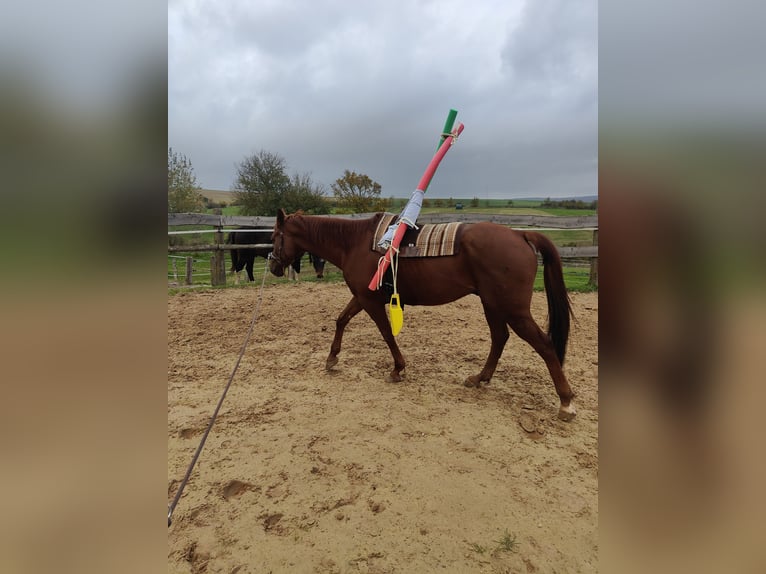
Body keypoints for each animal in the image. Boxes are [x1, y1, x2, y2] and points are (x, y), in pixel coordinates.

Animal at [270, 209, 576, 420]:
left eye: (275, 237)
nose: (273, 267)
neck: (353, 243)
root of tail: (519, 234)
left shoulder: (369, 301)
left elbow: (386, 333)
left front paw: (397, 369)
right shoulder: (362, 296)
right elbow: (341, 319)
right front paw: (332, 358)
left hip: (513, 309)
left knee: (544, 345)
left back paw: (566, 402)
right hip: (493, 305)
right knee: (499, 338)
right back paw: (479, 378)